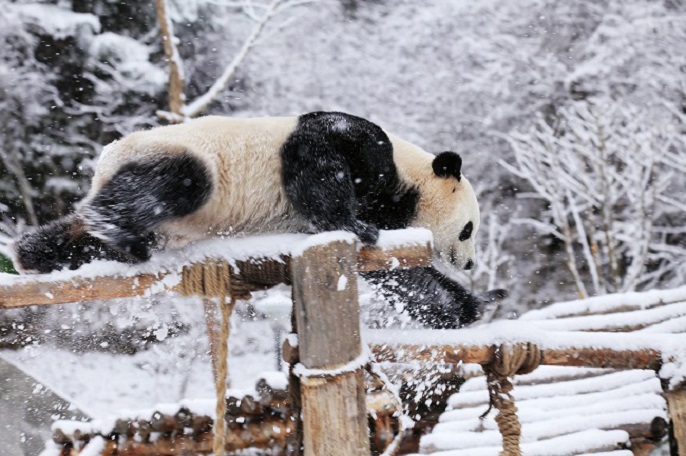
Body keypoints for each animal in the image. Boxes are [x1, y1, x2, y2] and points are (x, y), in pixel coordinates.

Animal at [13, 112, 508, 330]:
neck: (408, 181)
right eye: (469, 229)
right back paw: (120, 233)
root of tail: (104, 160)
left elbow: (406, 275)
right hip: (181, 159)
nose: (468, 263)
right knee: (171, 185)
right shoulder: (353, 148)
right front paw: (355, 226)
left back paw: (32, 254)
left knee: (78, 235)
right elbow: (318, 164)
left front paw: (477, 304)